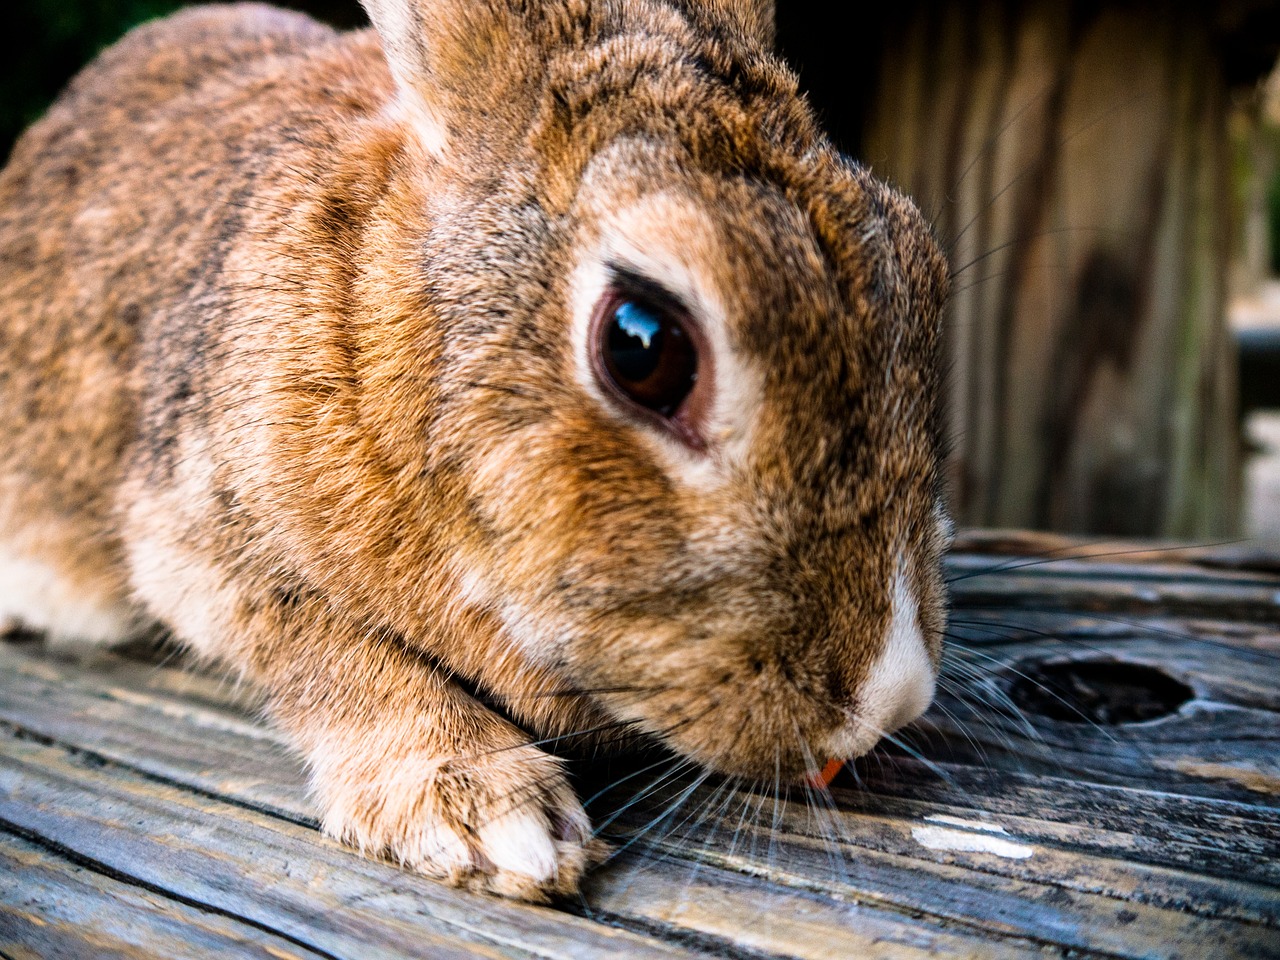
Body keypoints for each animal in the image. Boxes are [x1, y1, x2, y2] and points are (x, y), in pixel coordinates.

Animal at [0, 0, 952, 901]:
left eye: (924, 265)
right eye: (643, 348)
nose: (888, 700)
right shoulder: (197, 533)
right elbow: (330, 654)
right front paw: (492, 818)